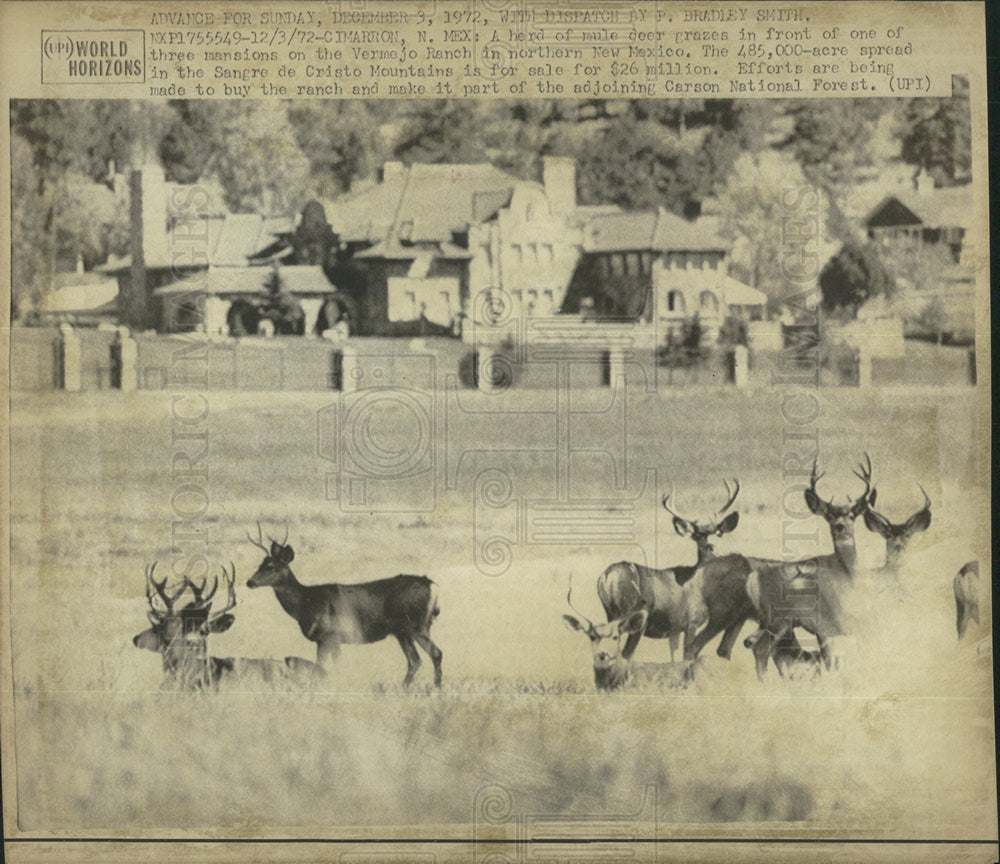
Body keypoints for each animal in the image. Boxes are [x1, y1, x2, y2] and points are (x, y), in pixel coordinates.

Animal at [744, 456, 876, 680]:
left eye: (851, 515)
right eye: (829, 516)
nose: (840, 527)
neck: (846, 574)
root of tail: (754, 579)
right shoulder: (829, 625)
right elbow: (834, 661)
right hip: (779, 619)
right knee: (761, 650)